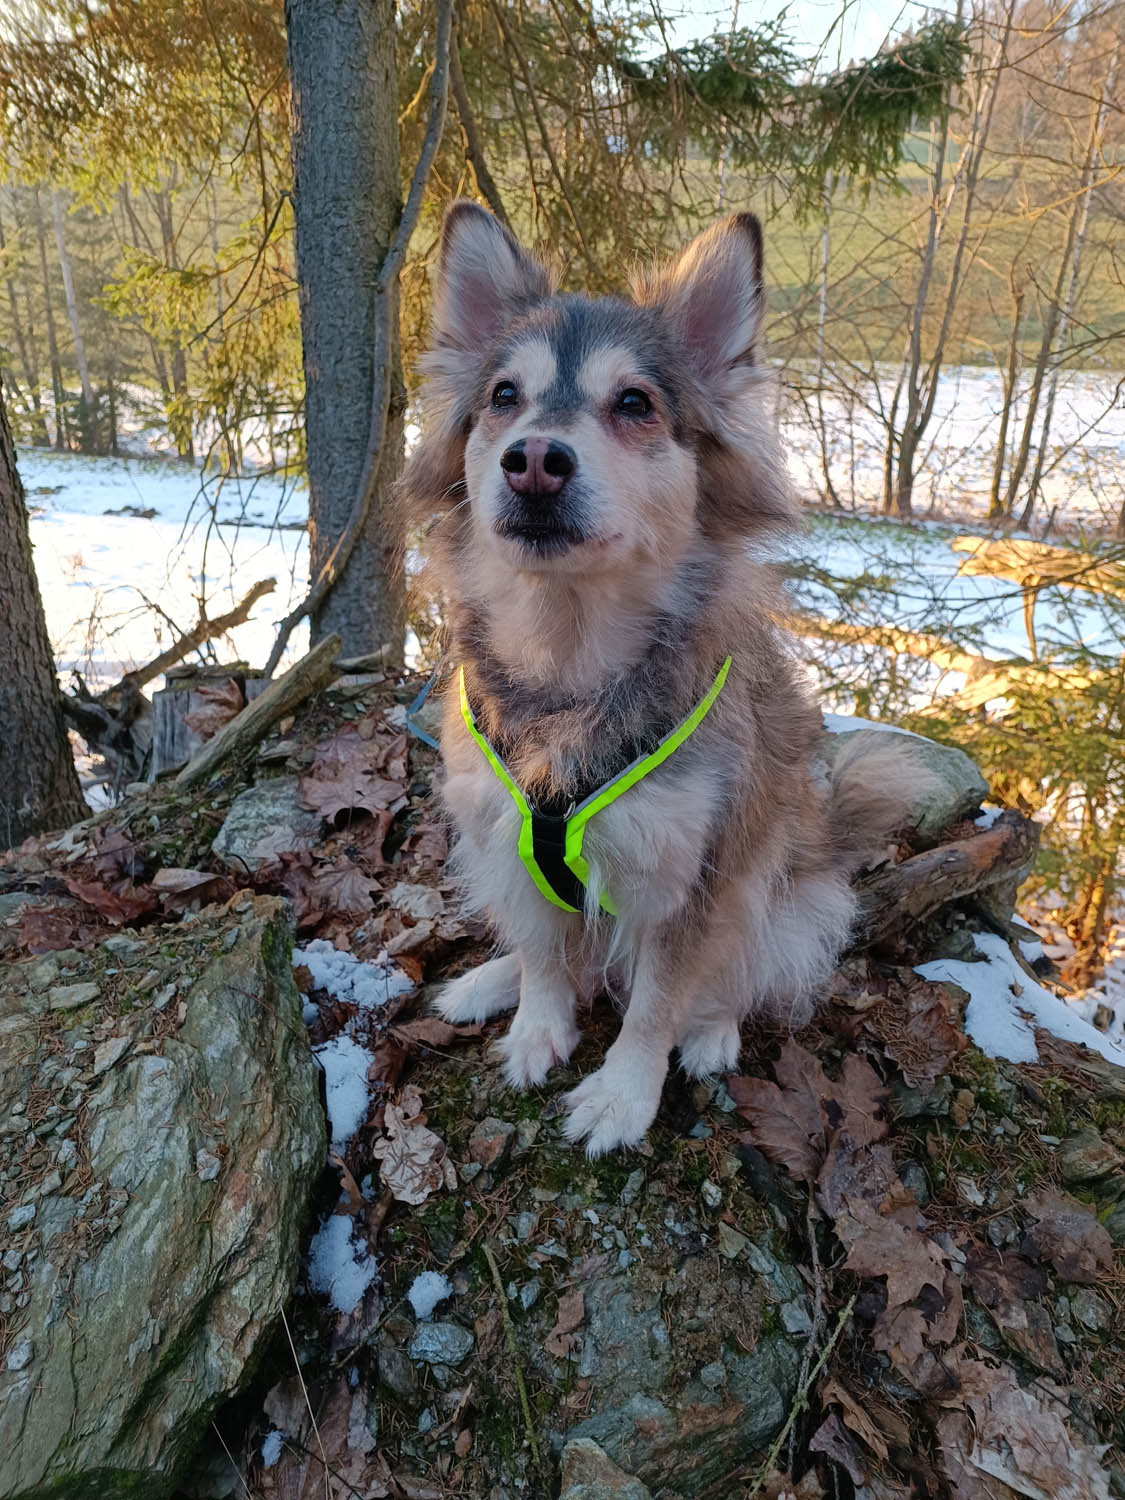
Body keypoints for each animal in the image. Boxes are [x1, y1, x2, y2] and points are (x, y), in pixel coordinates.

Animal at [400, 201, 916, 1155]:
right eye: (503, 398)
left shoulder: (693, 875)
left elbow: (654, 1002)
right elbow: (543, 954)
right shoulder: (502, 834)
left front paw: (622, 1092)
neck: (568, 661)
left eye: (634, 403)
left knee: (741, 968)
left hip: (785, 890)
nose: (533, 459)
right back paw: (489, 980)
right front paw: (534, 1023)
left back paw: (712, 1033)